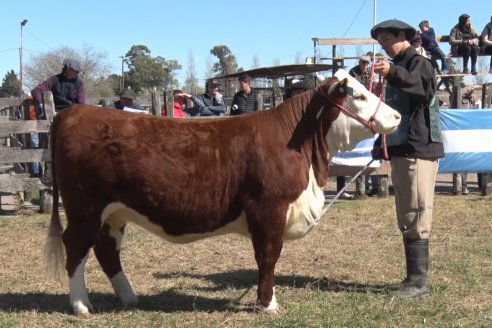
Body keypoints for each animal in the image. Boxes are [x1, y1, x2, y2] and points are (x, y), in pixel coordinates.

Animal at [45, 70, 400, 316]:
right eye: (359, 95)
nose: (396, 116)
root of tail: (73, 112)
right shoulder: (268, 208)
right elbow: (268, 257)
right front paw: (268, 304)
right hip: (85, 208)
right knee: (76, 247)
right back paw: (81, 305)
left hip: (114, 212)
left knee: (106, 250)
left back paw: (130, 297)